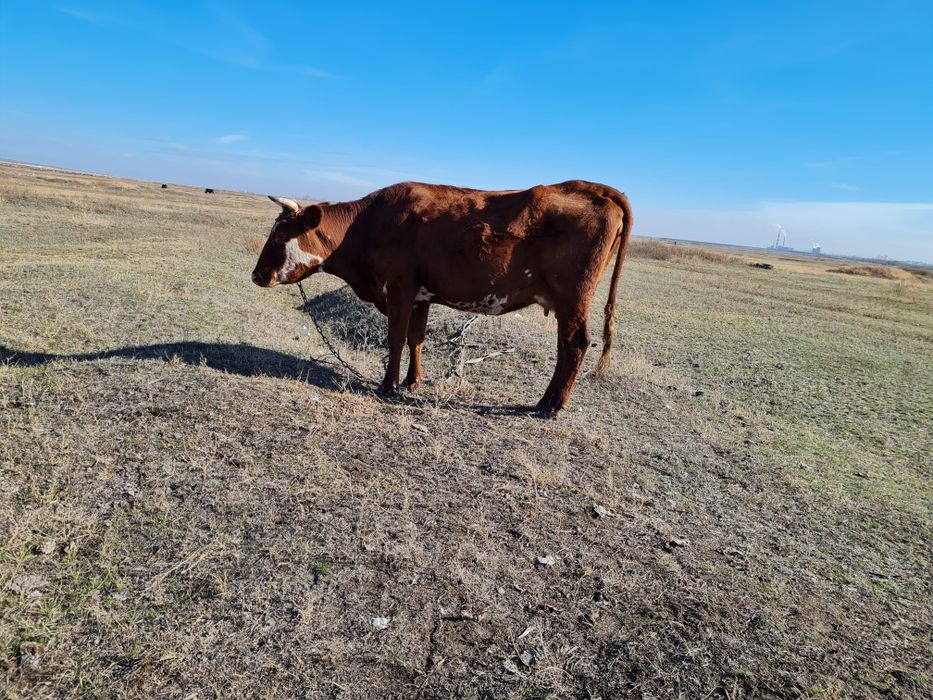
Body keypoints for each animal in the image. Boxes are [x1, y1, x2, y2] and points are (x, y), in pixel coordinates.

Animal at [252, 181, 633, 416]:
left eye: (280, 236)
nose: (257, 276)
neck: (365, 225)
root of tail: (590, 187)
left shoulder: (399, 288)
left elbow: (395, 337)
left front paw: (388, 385)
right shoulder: (422, 296)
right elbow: (415, 339)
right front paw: (412, 381)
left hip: (573, 300)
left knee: (574, 344)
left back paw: (552, 404)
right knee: (568, 347)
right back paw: (548, 401)